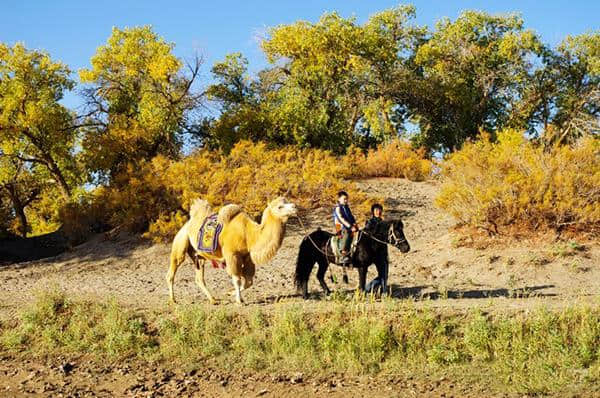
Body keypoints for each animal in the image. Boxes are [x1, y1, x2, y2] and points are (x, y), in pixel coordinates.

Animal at [166, 197, 298, 304]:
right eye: (280, 206)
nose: (294, 207)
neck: (249, 234)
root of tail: (186, 224)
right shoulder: (232, 255)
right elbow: (237, 279)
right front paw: (239, 301)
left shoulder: (247, 258)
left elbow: (248, 281)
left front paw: (231, 293)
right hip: (181, 243)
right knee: (172, 271)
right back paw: (173, 300)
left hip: (198, 256)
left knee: (199, 278)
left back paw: (213, 300)